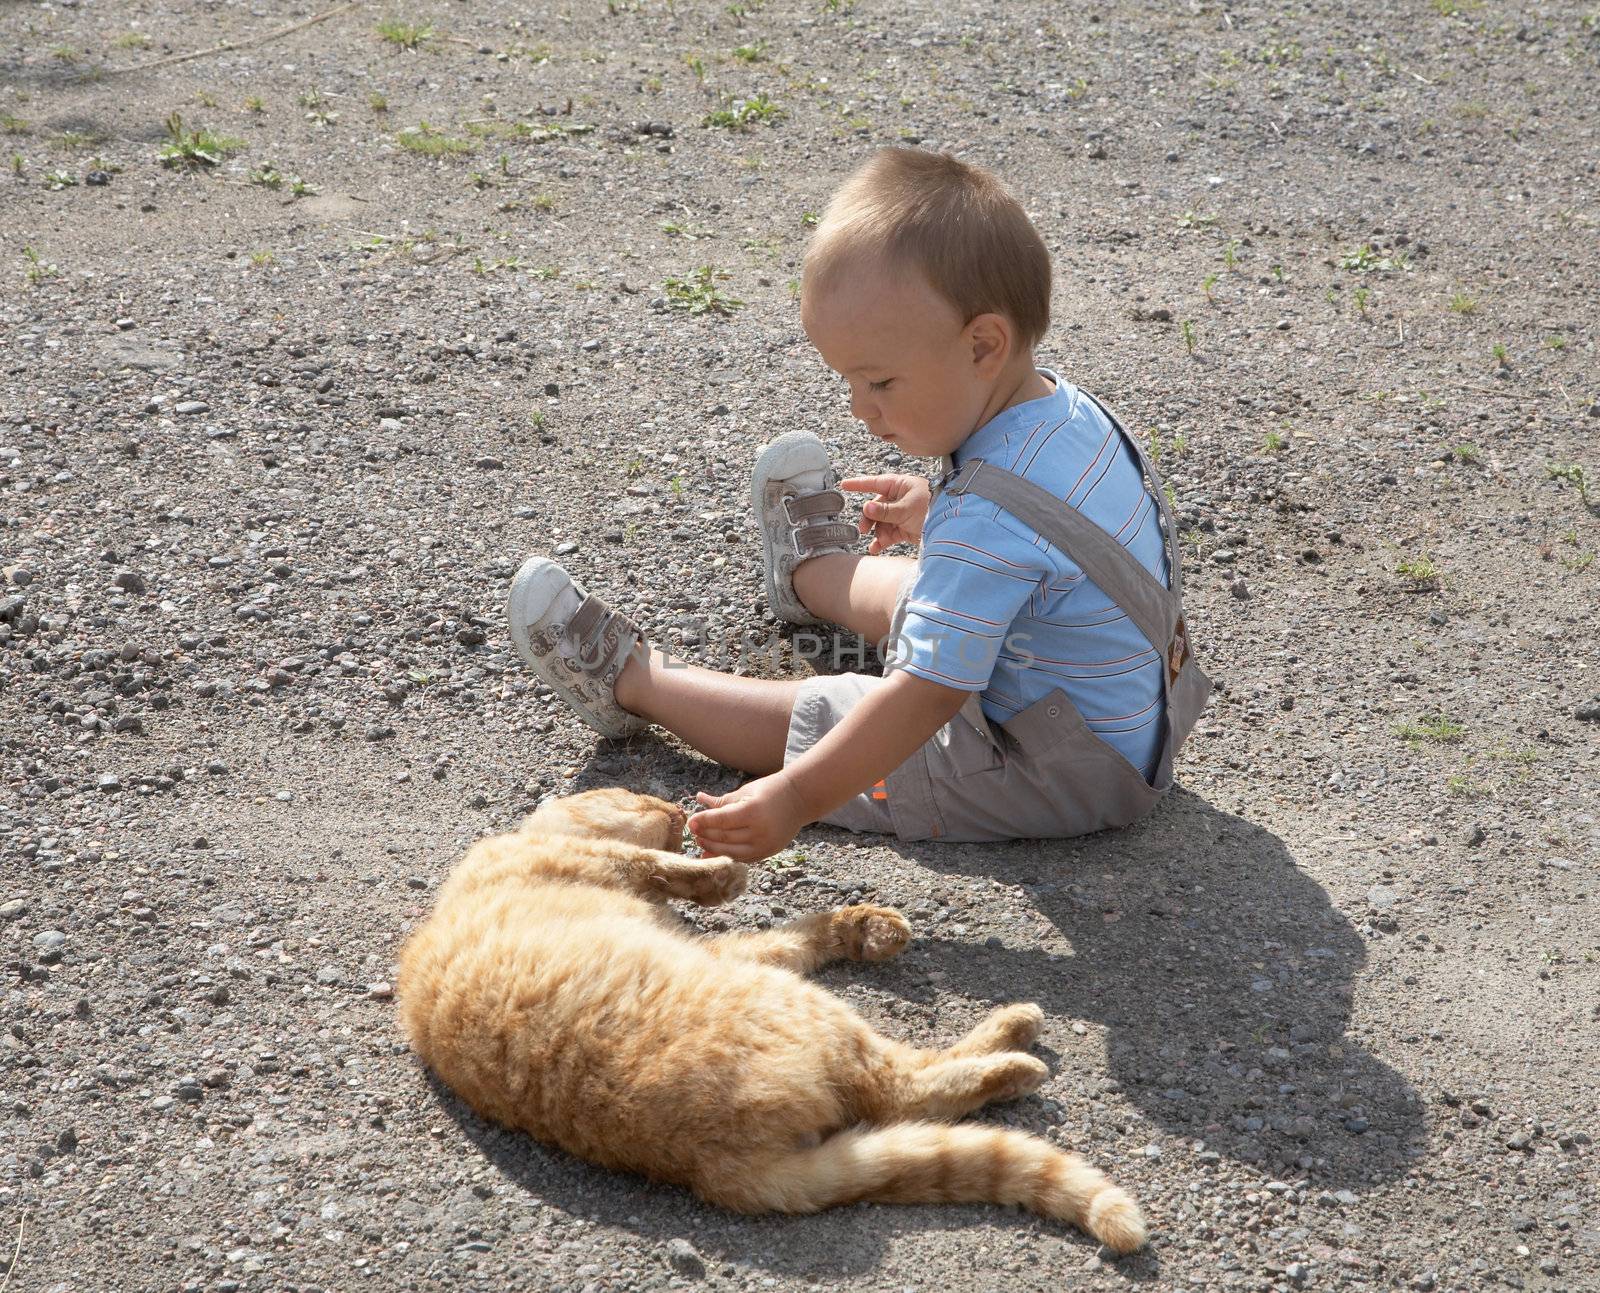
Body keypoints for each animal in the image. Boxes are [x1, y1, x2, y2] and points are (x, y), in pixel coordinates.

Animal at [400, 787, 1152, 1254]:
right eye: (634, 797)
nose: (674, 805)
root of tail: (719, 1171)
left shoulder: (726, 949)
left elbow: (795, 934)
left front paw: (861, 928)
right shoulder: (624, 875)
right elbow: (667, 867)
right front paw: (722, 870)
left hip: (777, 996)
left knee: (900, 1090)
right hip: (798, 1007)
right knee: (903, 1088)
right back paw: (1014, 1049)